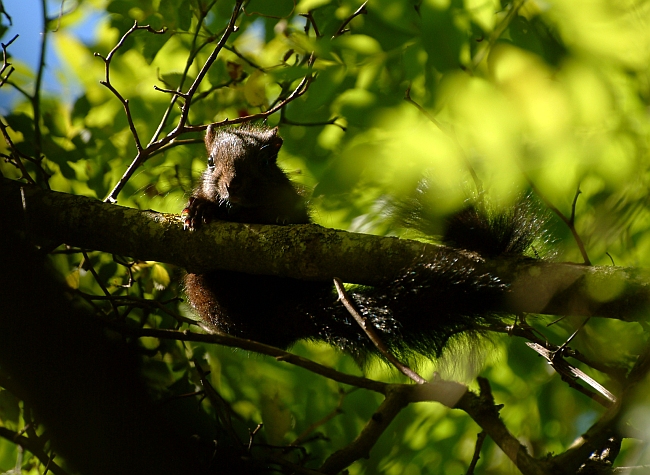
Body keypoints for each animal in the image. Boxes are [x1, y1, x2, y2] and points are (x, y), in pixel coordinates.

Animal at [182, 122, 540, 360]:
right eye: (210, 161)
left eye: (266, 162)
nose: (231, 186)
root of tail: (288, 319)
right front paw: (198, 208)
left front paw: (284, 221)